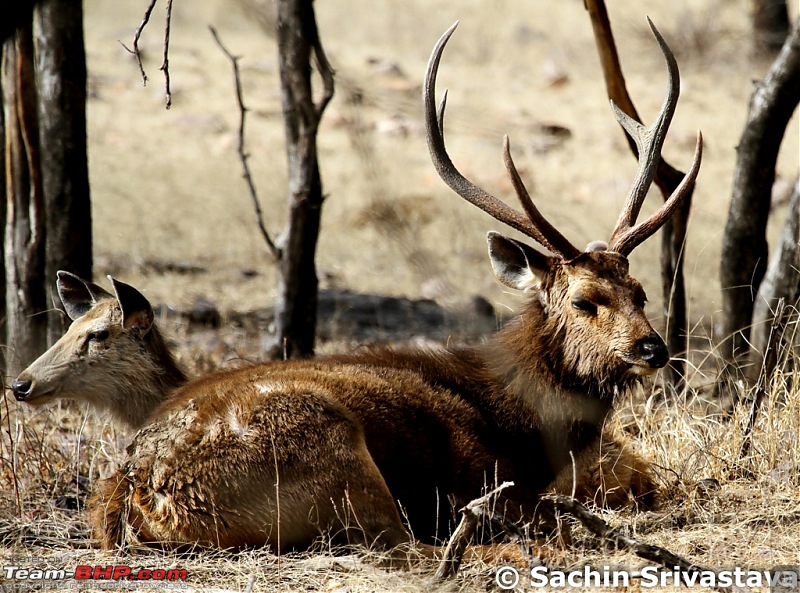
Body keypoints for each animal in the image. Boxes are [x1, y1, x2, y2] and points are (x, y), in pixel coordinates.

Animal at [12, 20, 700, 552]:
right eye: (585, 301)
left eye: (641, 293)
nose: (654, 348)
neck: (524, 421)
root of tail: (134, 492)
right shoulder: (484, 478)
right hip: (339, 458)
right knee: (406, 538)